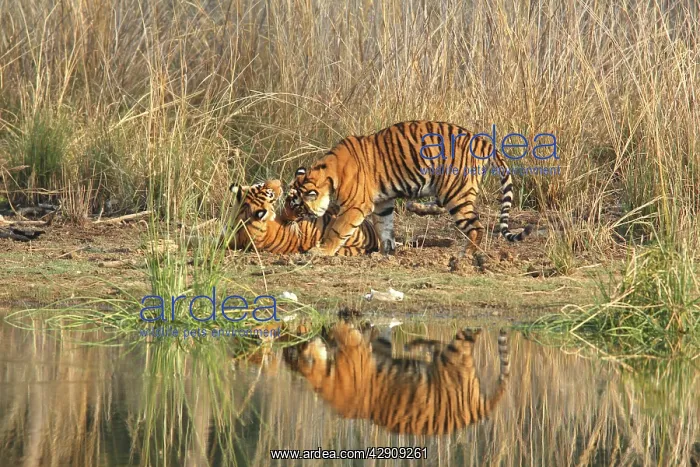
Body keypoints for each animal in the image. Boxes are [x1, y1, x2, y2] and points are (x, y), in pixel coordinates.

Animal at [283, 321, 510, 435]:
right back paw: (414, 345)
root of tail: (479, 412)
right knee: (452, 342)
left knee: (464, 337)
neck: (322, 377)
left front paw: (342, 319)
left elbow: (347, 331)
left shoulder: (359, 352)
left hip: (453, 354)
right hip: (452, 354)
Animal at [289, 120, 533, 256]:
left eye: (297, 207)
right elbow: (384, 227)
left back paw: (464, 255)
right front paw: (386, 253)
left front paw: (320, 251)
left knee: (476, 227)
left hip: (456, 193)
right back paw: (418, 208)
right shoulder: (382, 203)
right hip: (450, 190)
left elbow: (337, 229)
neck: (328, 175)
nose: (287, 221)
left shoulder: (355, 206)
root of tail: (483, 141)